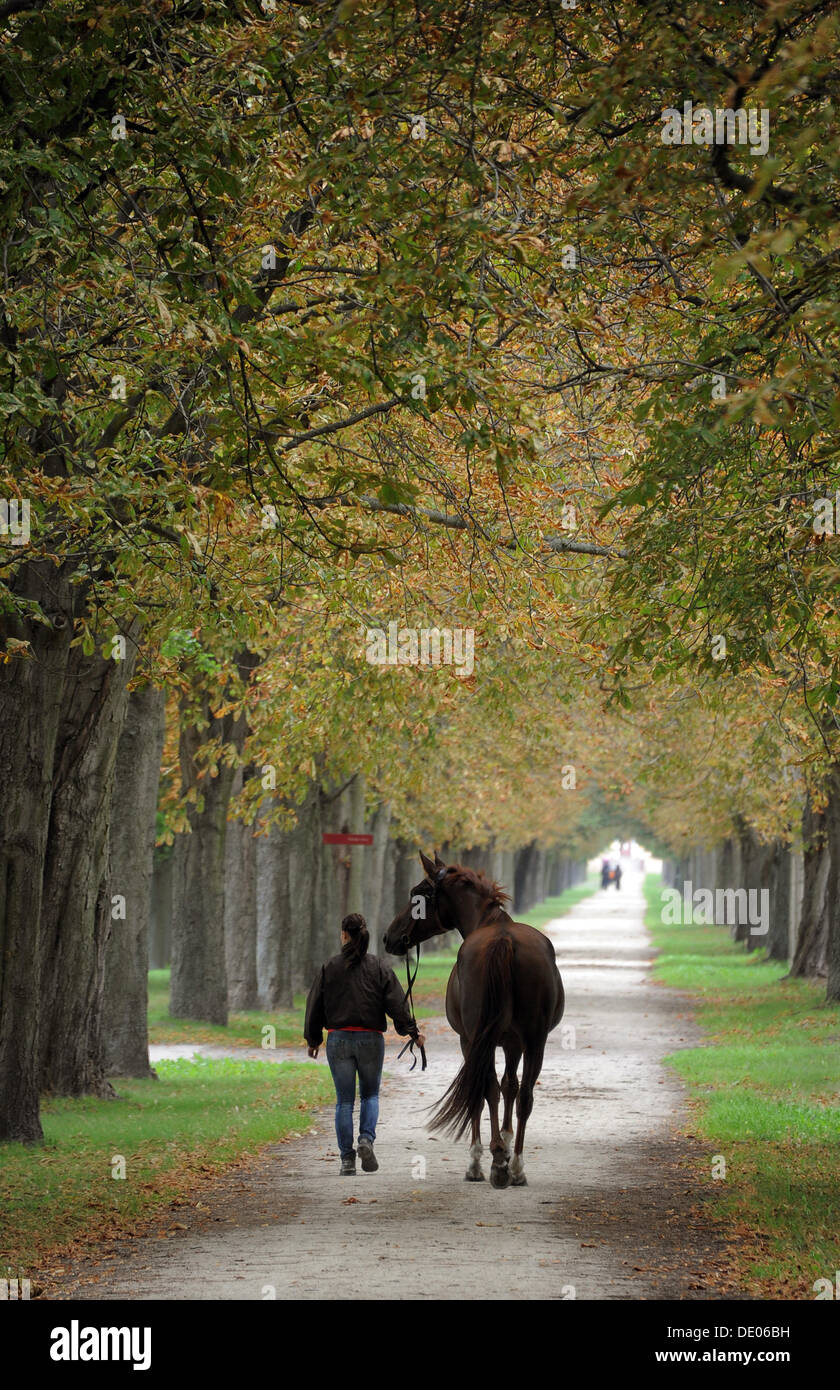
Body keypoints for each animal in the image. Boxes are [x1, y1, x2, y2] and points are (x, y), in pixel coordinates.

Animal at [381, 845, 564, 1184]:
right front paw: (505, 1142)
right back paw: (516, 1166)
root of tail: (504, 940)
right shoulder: (513, 1042)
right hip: (535, 1040)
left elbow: (485, 1091)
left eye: (417, 895)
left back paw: (495, 1164)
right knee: (524, 1096)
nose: (390, 937)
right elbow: (509, 1086)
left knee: (485, 1088)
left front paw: (482, 1157)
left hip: (480, 1038)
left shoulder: (469, 1040)